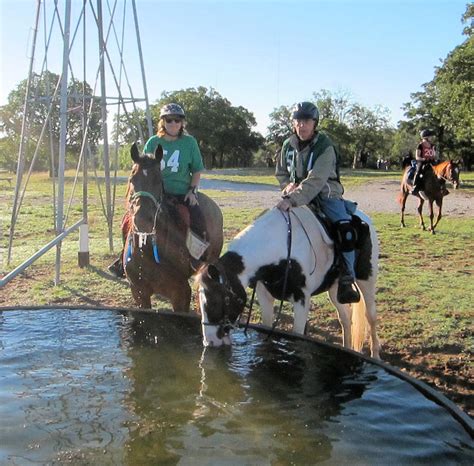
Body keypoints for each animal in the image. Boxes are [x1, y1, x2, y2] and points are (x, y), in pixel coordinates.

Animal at [194, 206, 380, 358]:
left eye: (214, 301)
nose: (209, 342)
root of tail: (364, 217)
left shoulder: (301, 300)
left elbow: (298, 335)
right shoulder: (264, 295)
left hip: (367, 280)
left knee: (370, 316)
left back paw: (375, 356)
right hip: (335, 289)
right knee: (345, 318)